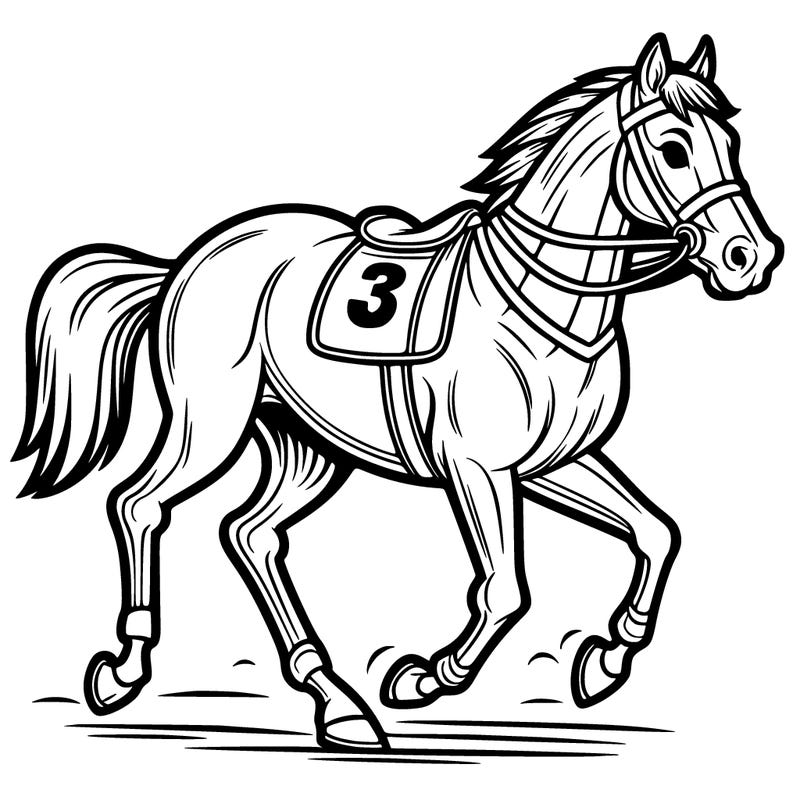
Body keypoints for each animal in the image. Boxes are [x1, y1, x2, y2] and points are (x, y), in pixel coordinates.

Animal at [15, 33, 782, 751]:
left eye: (731, 143)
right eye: (674, 149)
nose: (751, 258)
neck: (543, 301)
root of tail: (186, 261)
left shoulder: (556, 464)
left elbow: (657, 533)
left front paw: (604, 661)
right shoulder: (478, 469)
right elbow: (505, 589)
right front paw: (424, 677)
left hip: (308, 445)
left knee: (251, 535)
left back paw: (336, 703)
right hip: (209, 425)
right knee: (139, 505)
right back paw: (125, 669)